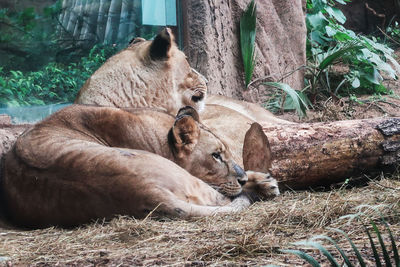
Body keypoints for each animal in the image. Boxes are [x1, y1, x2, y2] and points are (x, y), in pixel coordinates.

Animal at [0, 105, 278, 229]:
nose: (241, 179)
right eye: (216, 156)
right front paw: (259, 181)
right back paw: (262, 187)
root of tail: (145, 190)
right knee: (223, 200)